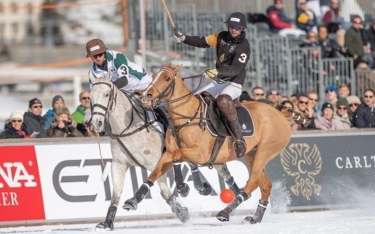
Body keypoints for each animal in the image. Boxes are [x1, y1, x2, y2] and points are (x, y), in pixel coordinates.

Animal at [89, 72, 189, 230]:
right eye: (90, 97)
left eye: (106, 94)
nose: (96, 123)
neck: (127, 128)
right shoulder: (119, 164)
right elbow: (115, 195)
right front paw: (107, 223)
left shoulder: (157, 164)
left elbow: (165, 193)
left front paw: (182, 213)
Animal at [125, 63, 294, 224]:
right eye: (154, 76)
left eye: (167, 78)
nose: (146, 96)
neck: (186, 118)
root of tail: (281, 114)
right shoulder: (167, 153)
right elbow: (154, 174)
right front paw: (132, 200)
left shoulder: (202, 155)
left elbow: (177, 155)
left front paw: (182, 187)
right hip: (251, 155)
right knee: (265, 186)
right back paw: (255, 218)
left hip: (265, 151)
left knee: (251, 183)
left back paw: (225, 213)